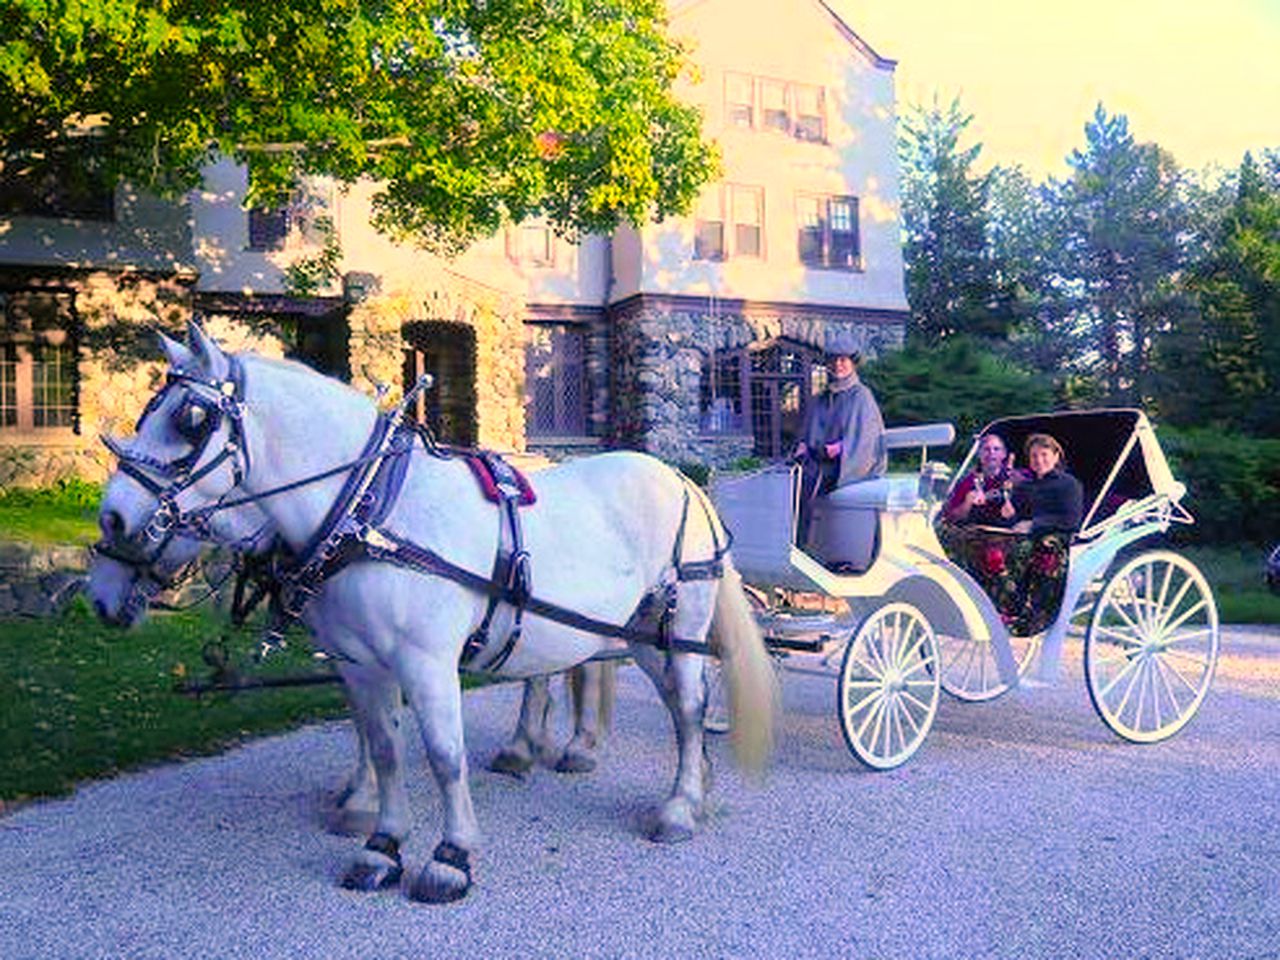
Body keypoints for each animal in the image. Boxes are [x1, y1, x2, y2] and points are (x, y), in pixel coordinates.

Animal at [87, 321, 778, 901]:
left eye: (190, 418)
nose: (113, 520)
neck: (371, 511)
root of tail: (684, 481)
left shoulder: (425, 662)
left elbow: (445, 755)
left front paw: (451, 857)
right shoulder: (359, 663)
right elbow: (383, 748)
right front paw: (381, 843)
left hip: (675, 623)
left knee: (687, 706)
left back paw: (678, 805)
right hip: (633, 631)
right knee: (658, 699)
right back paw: (677, 781)